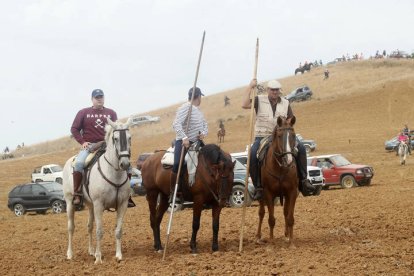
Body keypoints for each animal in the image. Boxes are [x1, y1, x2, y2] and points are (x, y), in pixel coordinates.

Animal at [61, 117, 131, 264]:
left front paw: (118, 255)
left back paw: (91, 251)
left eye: (129, 137)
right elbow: (100, 231)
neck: (114, 174)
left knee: (89, 226)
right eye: (115, 138)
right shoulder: (99, 205)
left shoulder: (123, 204)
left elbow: (118, 230)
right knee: (71, 227)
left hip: (90, 205)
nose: (125, 164)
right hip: (70, 203)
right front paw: (99, 258)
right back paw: (70, 254)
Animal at [256, 115, 298, 247]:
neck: (280, 167)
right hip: (261, 196)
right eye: (279, 136)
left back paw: (286, 235)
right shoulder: (268, 193)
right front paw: (271, 243)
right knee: (261, 213)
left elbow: (290, 218)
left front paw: (291, 242)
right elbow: (271, 219)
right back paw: (258, 236)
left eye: (293, 135)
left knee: (285, 212)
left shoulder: (292, 192)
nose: (288, 160)